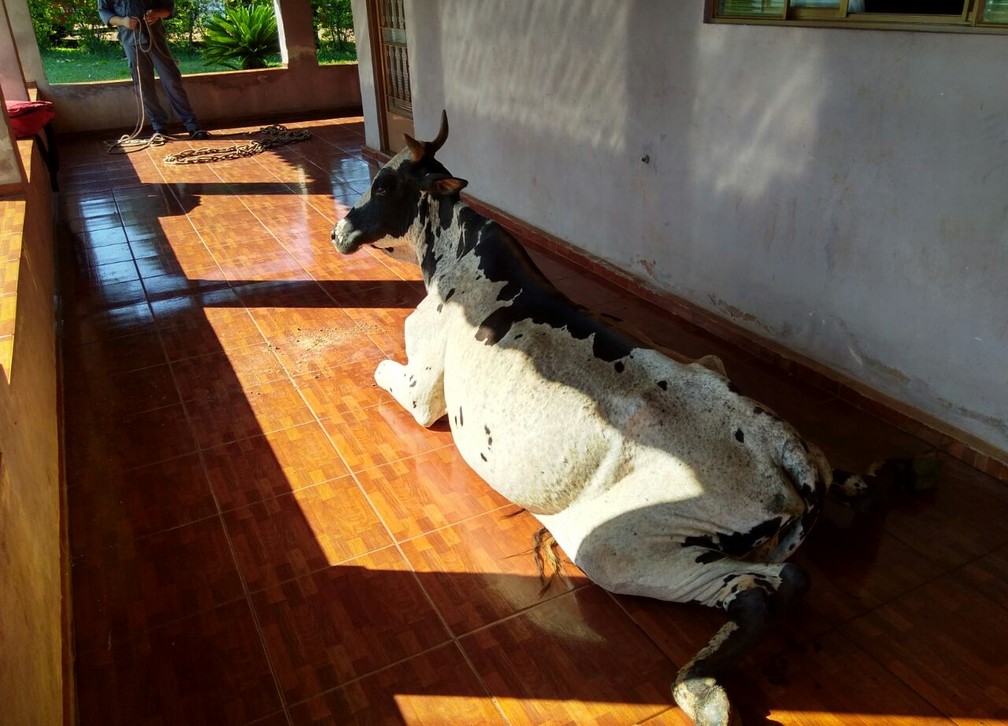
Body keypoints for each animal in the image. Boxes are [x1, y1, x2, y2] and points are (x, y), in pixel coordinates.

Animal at [331, 112, 865, 726]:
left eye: (383, 186)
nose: (338, 231)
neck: (459, 255)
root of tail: (783, 449)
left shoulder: (422, 392)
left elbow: (382, 370)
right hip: (717, 374)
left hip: (616, 543)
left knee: (768, 588)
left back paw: (699, 687)